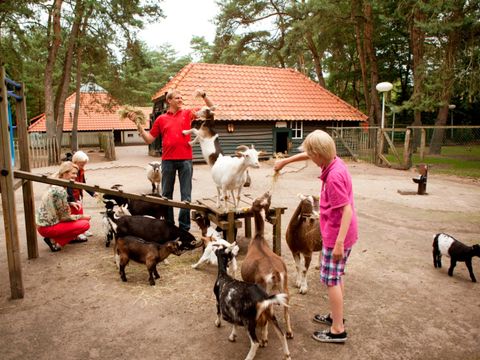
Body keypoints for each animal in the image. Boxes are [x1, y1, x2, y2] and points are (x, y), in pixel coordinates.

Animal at [240, 191, 292, 340]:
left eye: (255, 201)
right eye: (265, 201)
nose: (268, 192)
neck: (258, 239)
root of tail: (275, 272)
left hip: (264, 290)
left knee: (266, 315)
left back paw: (264, 338)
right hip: (284, 287)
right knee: (286, 310)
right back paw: (289, 332)